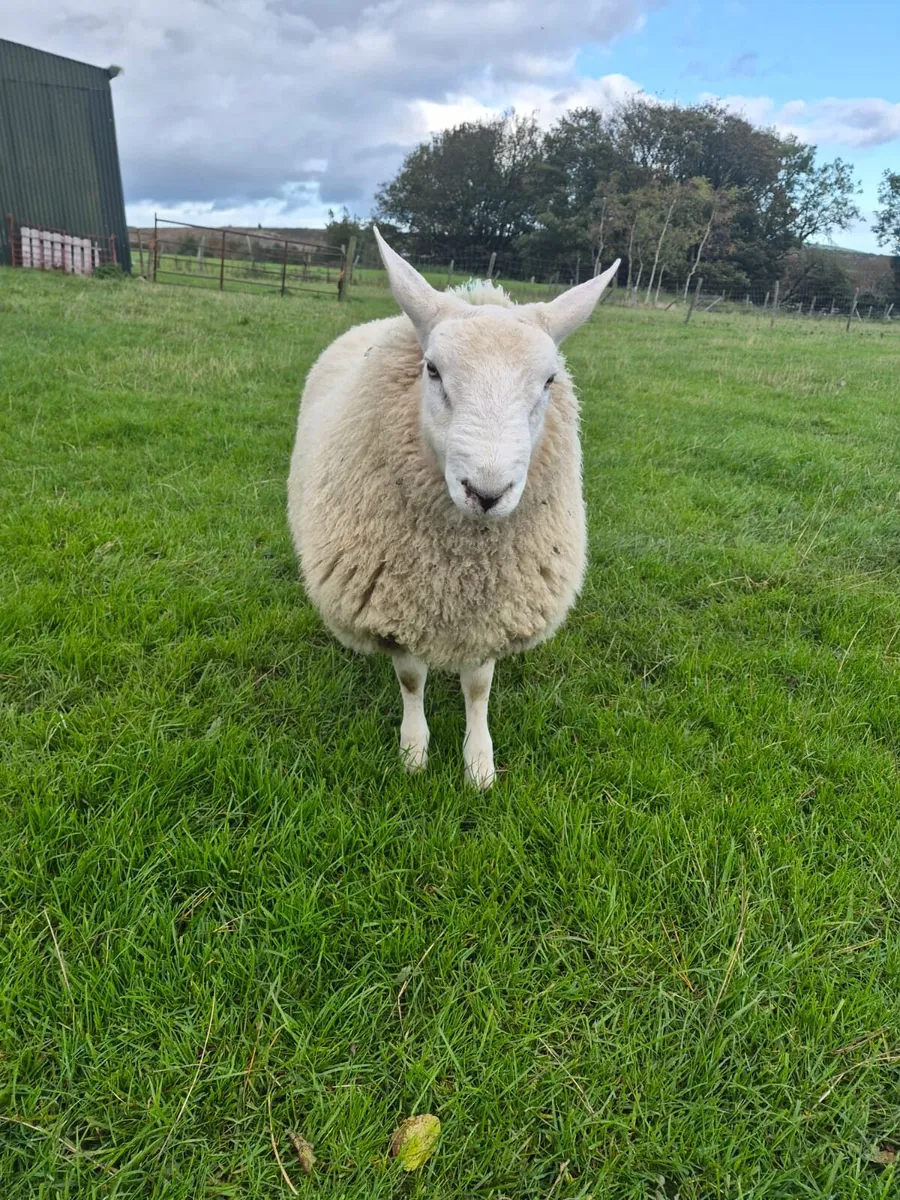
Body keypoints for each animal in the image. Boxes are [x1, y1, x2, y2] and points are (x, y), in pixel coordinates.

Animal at [287, 229, 620, 787]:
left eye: (550, 381)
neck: (458, 572)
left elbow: (478, 686)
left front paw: (479, 763)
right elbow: (411, 679)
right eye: (433, 370)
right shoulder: (394, 606)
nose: (486, 493)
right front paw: (414, 751)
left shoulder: (496, 610)